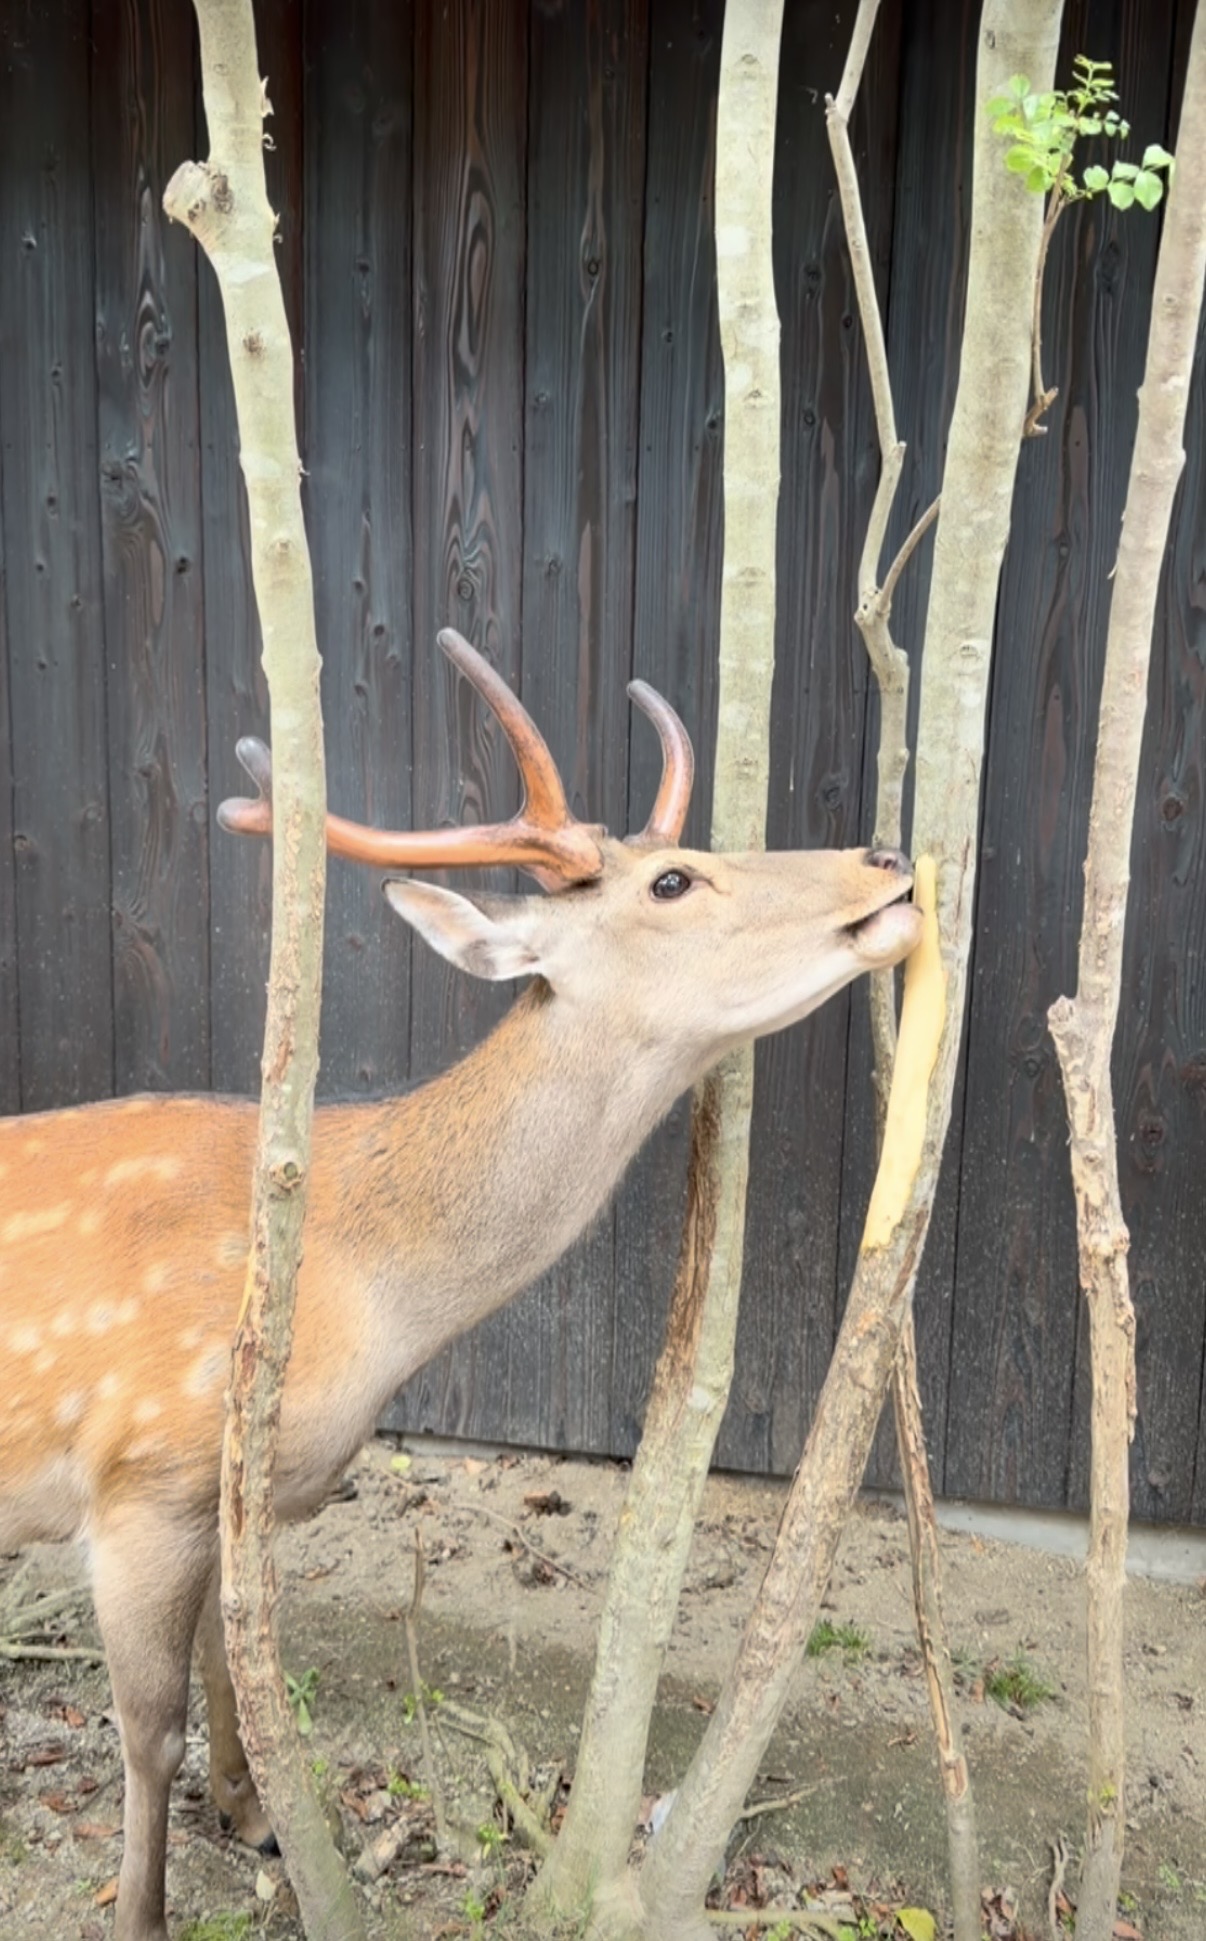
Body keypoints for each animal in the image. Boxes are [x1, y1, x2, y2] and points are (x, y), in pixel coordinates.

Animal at [0, 627, 921, 1941]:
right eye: (672, 882)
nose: (886, 857)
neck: (354, 1285)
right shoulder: (138, 1475)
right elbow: (147, 1732)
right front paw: (144, 1911)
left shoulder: (233, 1493)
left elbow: (239, 1655)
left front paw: (256, 1816)